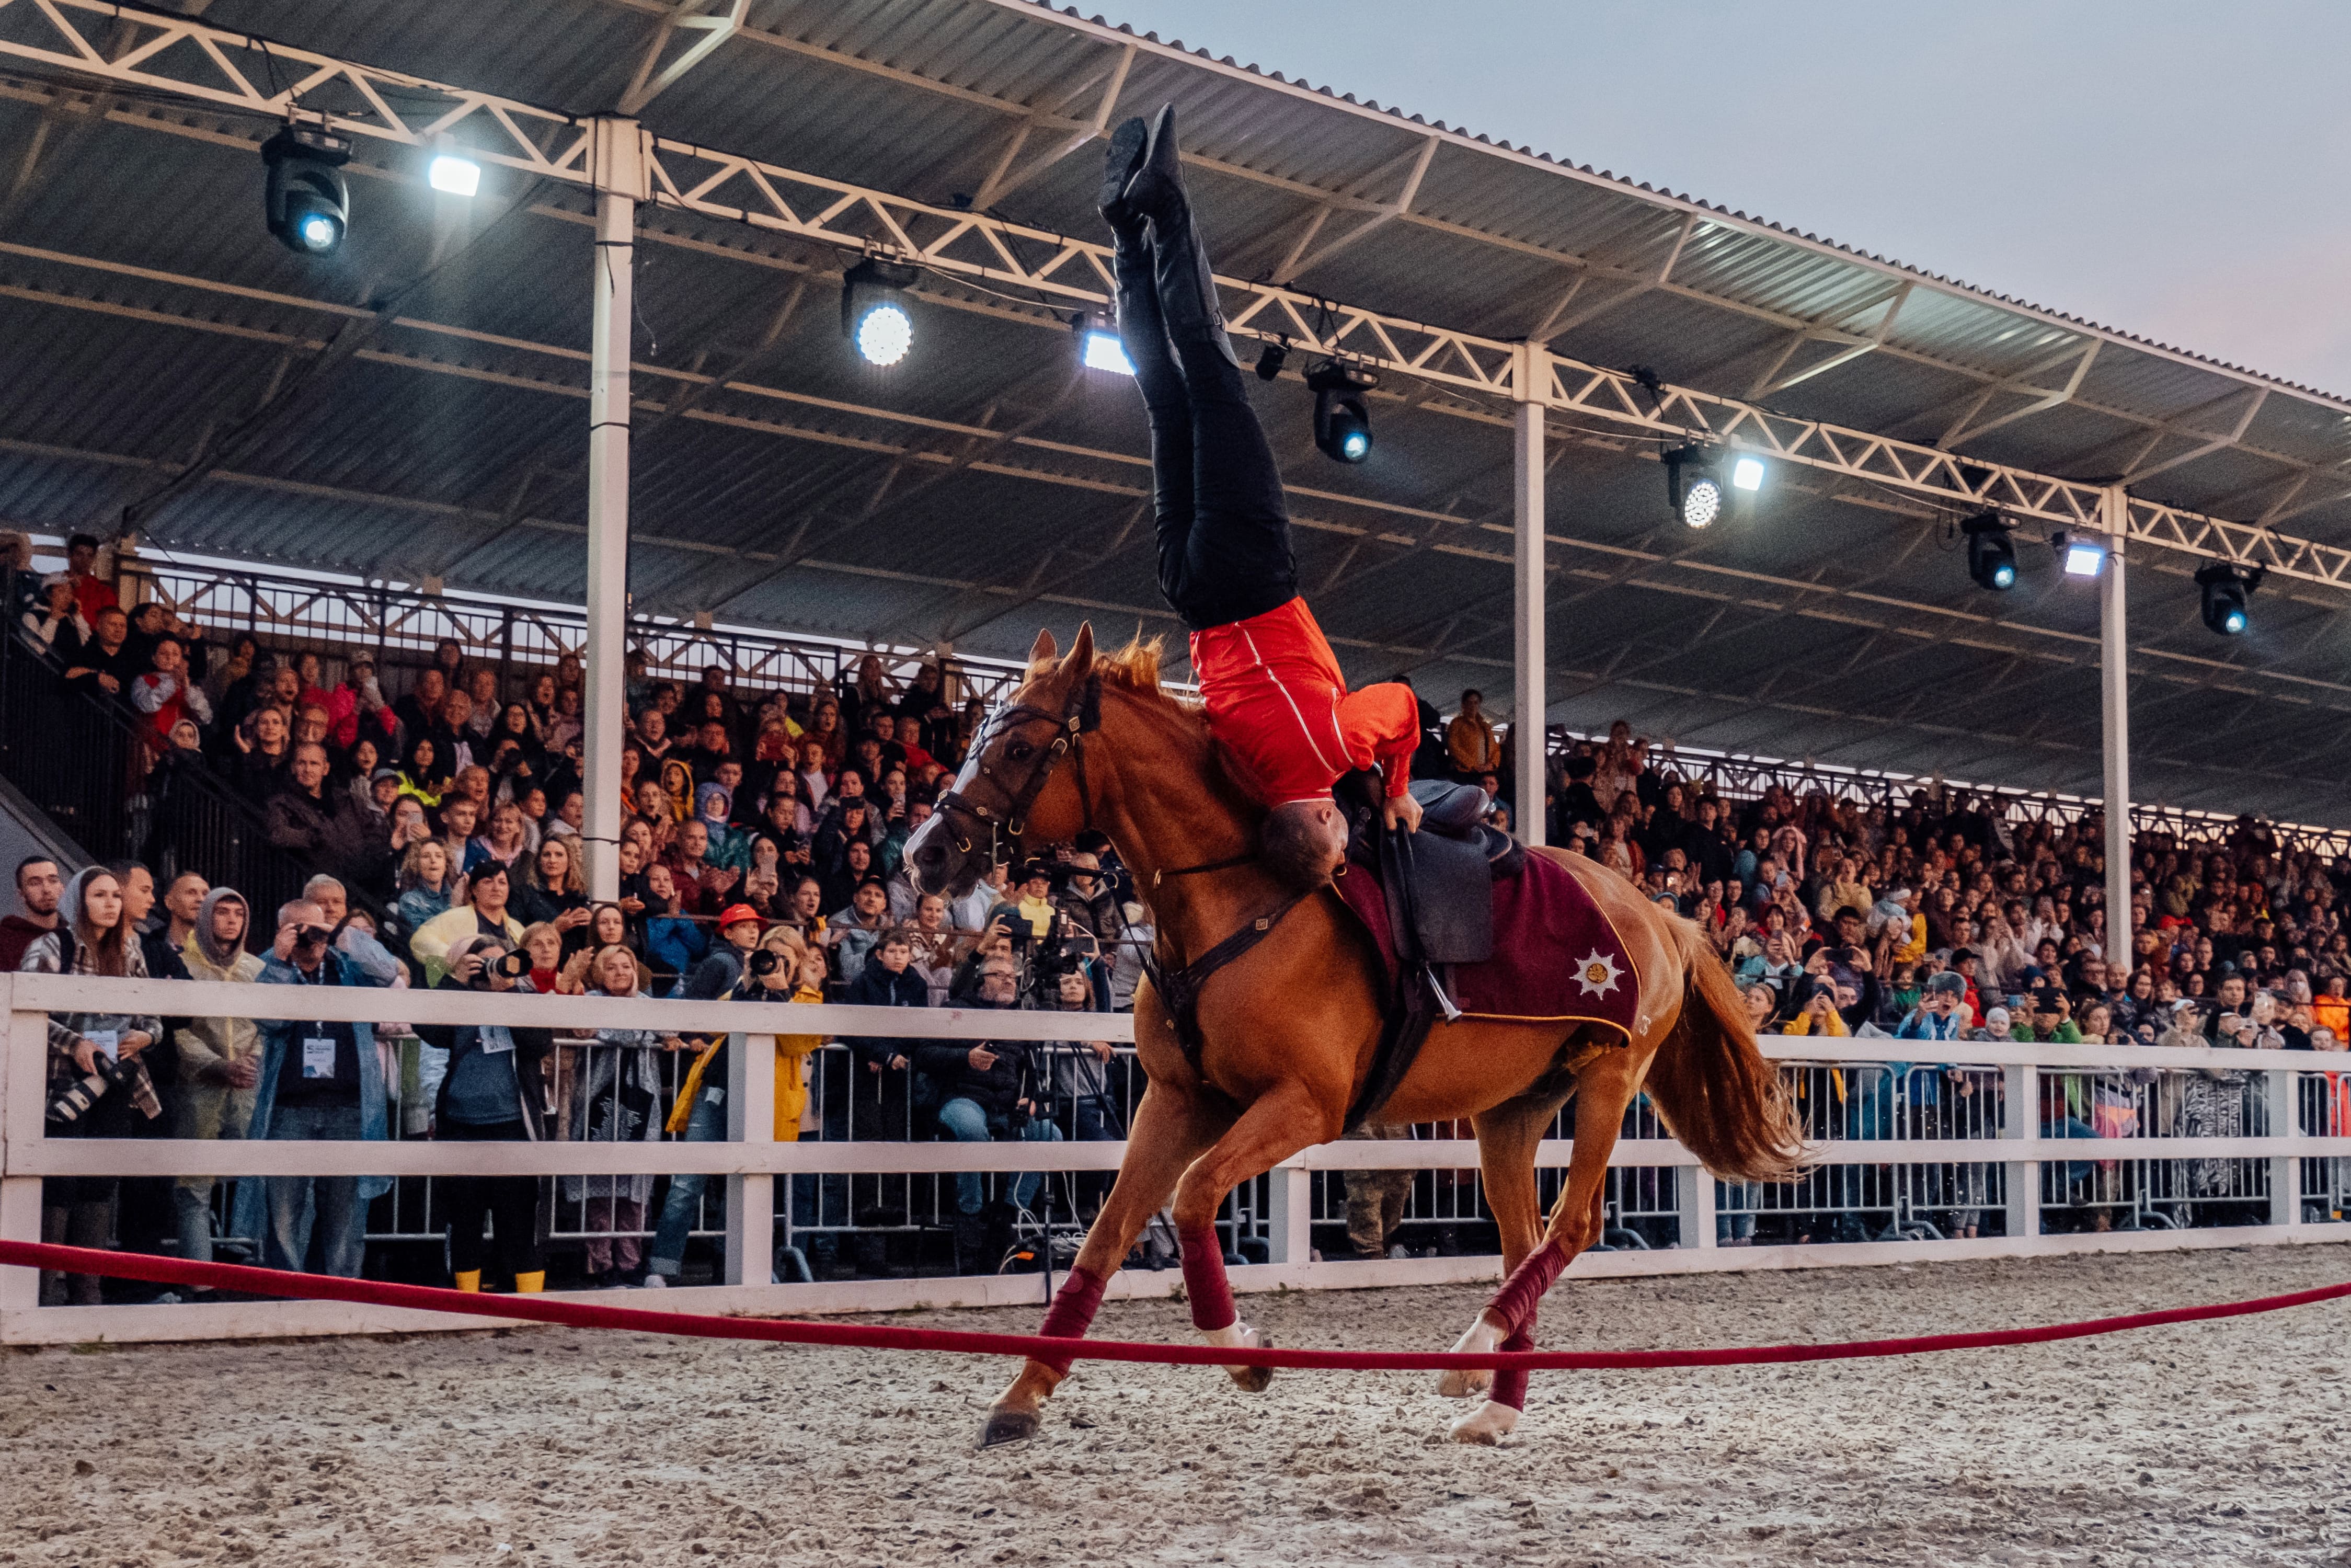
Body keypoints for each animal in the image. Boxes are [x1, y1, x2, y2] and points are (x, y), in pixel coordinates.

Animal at [898, 625, 1796, 1448]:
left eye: (1018, 746)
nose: (923, 853)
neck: (1240, 900)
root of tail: (1659, 914)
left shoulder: (1306, 1105)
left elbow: (1191, 1198)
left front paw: (1242, 1349)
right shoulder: (1177, 1099)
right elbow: (1108, 1234)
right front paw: (1023, 1392)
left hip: (1611, 1075)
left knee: (1572, 1226)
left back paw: (1471, 1349)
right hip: (1511, 1112)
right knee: (1524, 1241)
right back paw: (1496, 1400)